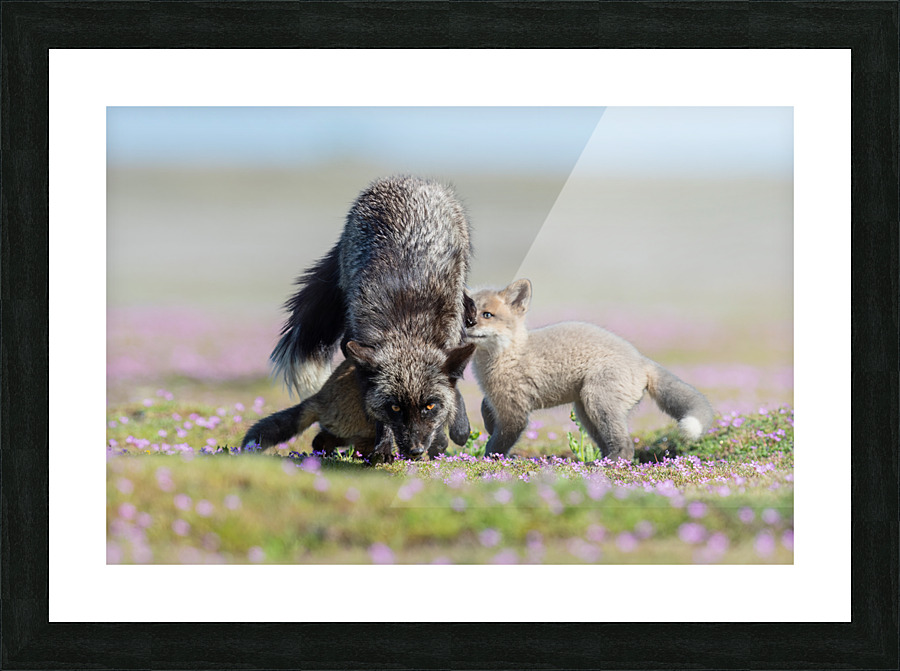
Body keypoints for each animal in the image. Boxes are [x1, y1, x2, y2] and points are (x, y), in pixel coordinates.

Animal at [269, 176, 477, 461]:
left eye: (429, 406)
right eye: (395, 408)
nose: (414, 451)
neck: (407, 327)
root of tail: (405, 179)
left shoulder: (450, 337)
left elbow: (452, 388)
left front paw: (448, 433)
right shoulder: (357, 348)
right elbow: (372, 405)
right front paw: (384, 445)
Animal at [467, 279, 715, 460]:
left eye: (486, 314)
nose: (467, 325)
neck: (510, 355)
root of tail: (640, 359)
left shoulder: (515, 411)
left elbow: (499, 442)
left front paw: (488, 458)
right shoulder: (499, 400)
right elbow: (485, 408)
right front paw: (488, 423)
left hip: (597, 400)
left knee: (626, 445)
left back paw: (609, 464)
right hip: (584, 410)